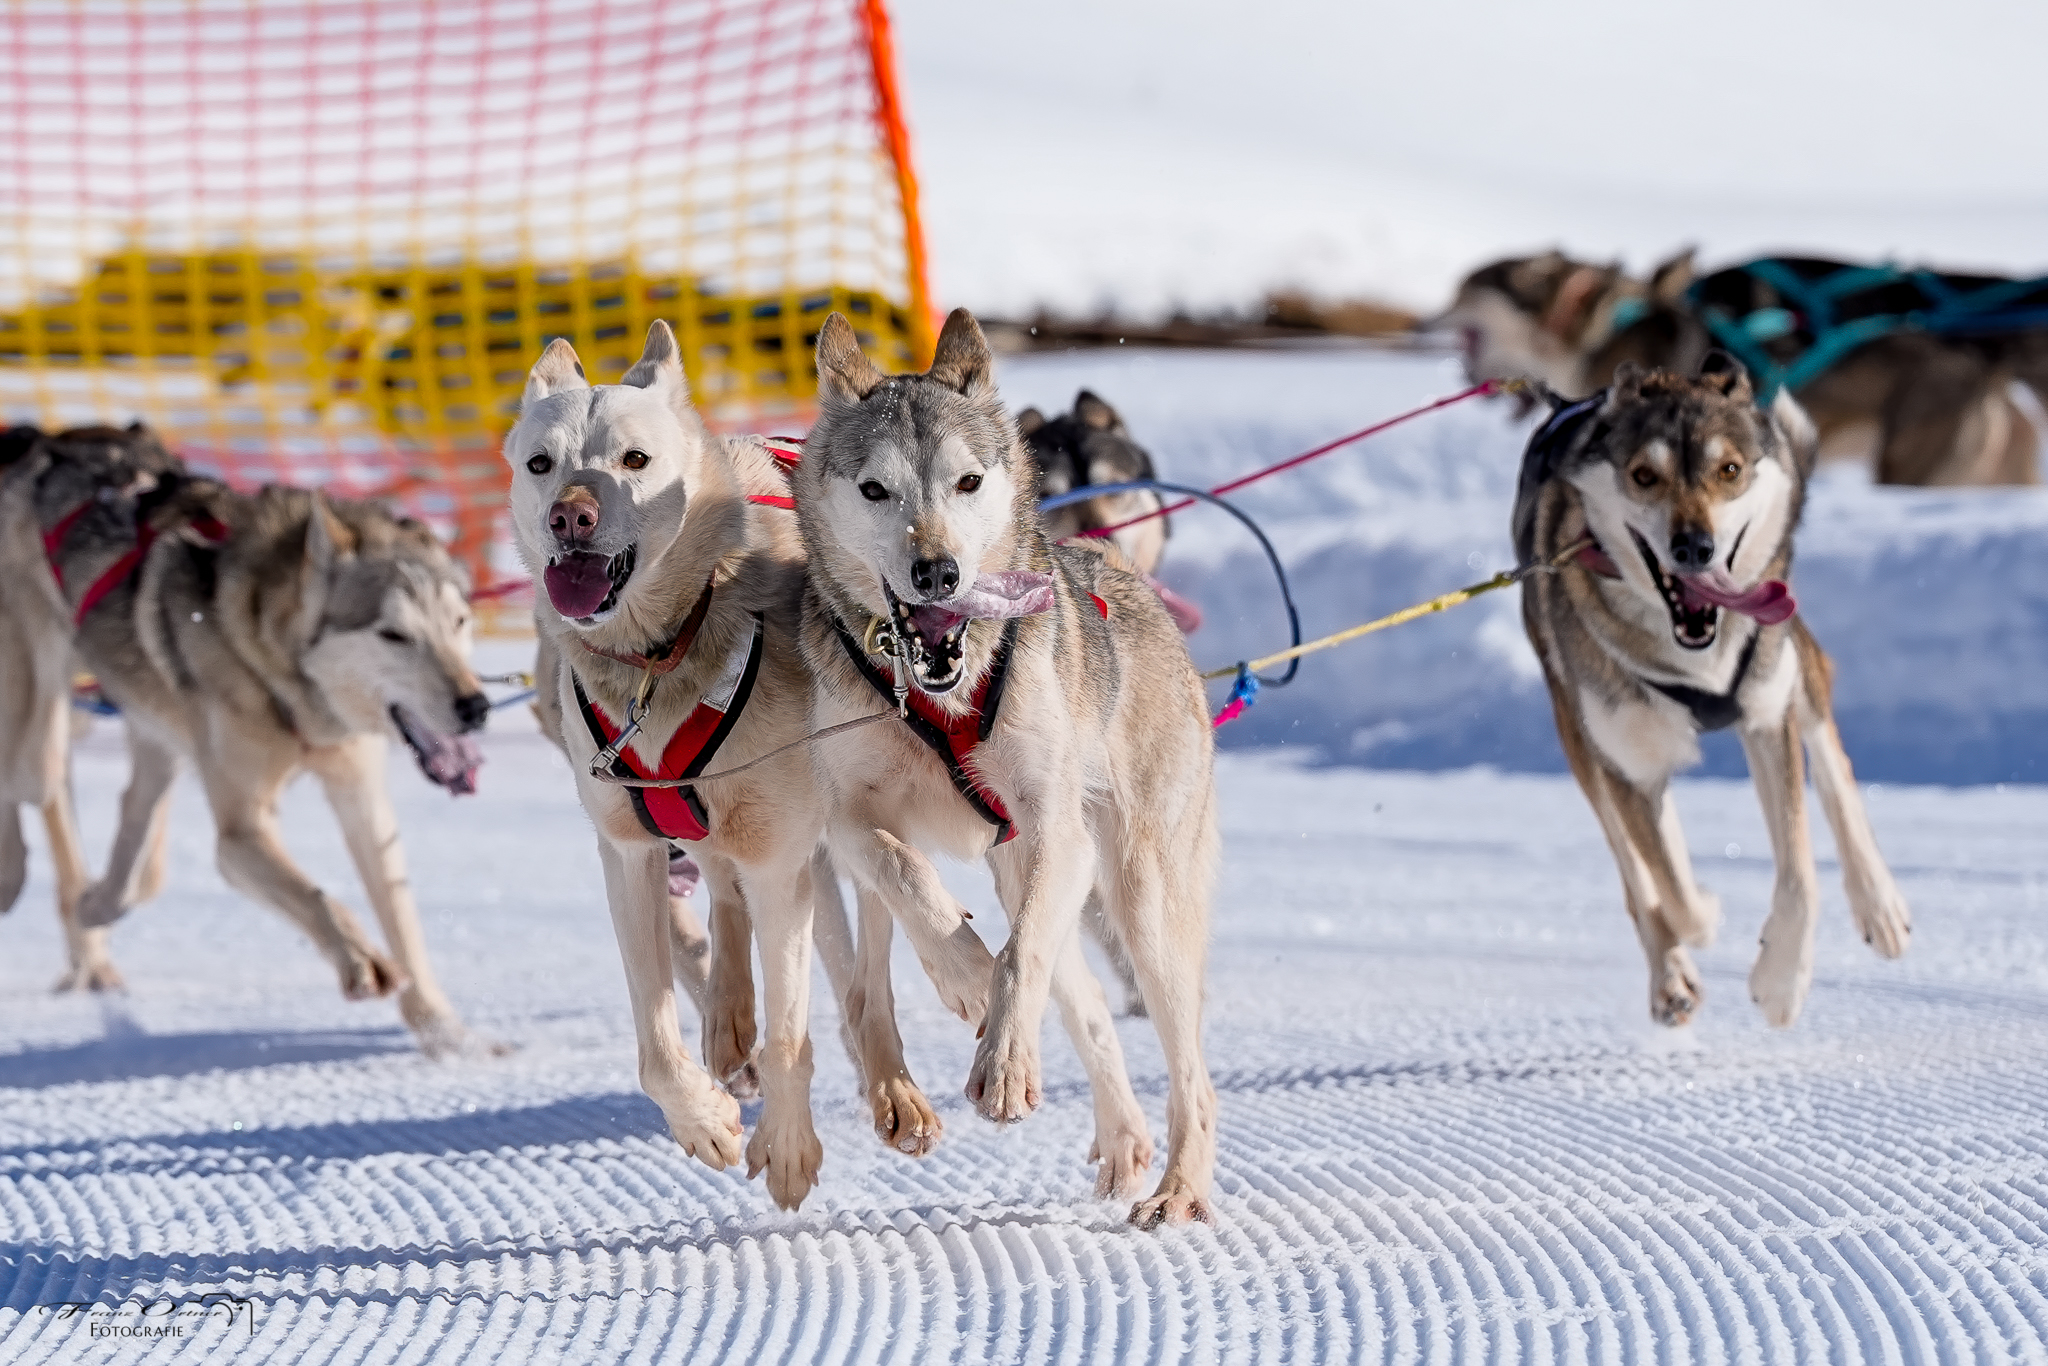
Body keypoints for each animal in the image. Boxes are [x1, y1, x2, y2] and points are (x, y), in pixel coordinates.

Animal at [24, 429, 493, 1054]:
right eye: (394, 635)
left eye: (460, 622)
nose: (476, 707)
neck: (288, 687)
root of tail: (54, 440)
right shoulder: (242, 834)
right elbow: (318, 897)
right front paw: (358, 959)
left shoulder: (364, 802)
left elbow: (402, 918)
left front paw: (448, 1035)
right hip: (44, 733)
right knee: (54, 802)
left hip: (154, 727)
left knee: (138, 827)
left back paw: (99, 904)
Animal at [795, 308, 1220, 1227]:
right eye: (874, 490)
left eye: (967, 481)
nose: (937, 571)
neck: (943, 696)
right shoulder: (847, 814)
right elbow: (906, 878)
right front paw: (964, 978)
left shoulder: (1057, 831)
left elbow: (1019, 957)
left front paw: (1000, 1062)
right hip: (1012, 869)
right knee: (1060, 1005)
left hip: (1137, 895)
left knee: (1189, 1072)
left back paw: (1177, 1186)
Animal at [1514, 352, 1912, 1027]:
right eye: (1644, 475)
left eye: (1729, 470)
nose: (1694, 547)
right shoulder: (1624, 760)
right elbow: (1665, 887)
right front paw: (1695, 924)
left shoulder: (1768, 720)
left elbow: (1799, 873)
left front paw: (1780, 982)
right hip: (1581, 736)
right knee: (1637, 864)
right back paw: (1670, 974)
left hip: (1791, 661)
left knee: (1831, 757)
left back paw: (1878, 903)